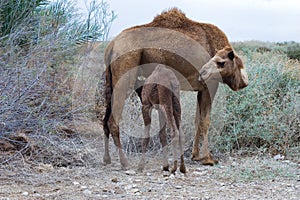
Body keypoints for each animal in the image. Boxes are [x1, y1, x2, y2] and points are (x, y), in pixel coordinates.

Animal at [101, 8, 248, 170]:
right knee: (112, 121)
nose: (244, 81)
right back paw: (124, 162)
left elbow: (197, 120)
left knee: (105, 119)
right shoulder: (210, 85)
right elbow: (206, 121)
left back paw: (107, 159)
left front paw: (195, 155)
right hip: (124, 76)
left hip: (111, 82)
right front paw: (208, 159)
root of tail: (111, 46)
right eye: (221, 63)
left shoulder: (201, 89)